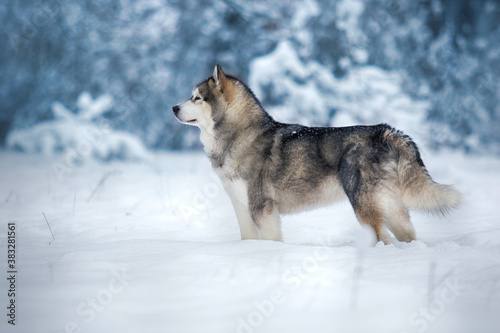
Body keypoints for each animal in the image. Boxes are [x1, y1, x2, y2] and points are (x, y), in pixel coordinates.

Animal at [174, 64, 462, 244]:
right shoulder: (242, 207)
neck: (239, 135)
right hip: (389, 207)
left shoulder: (263, 208)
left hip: (365, 207)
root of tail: (386, 131)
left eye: (197, 98)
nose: (174, 107)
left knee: (384, 239)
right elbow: (248, 239)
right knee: (408, 237)